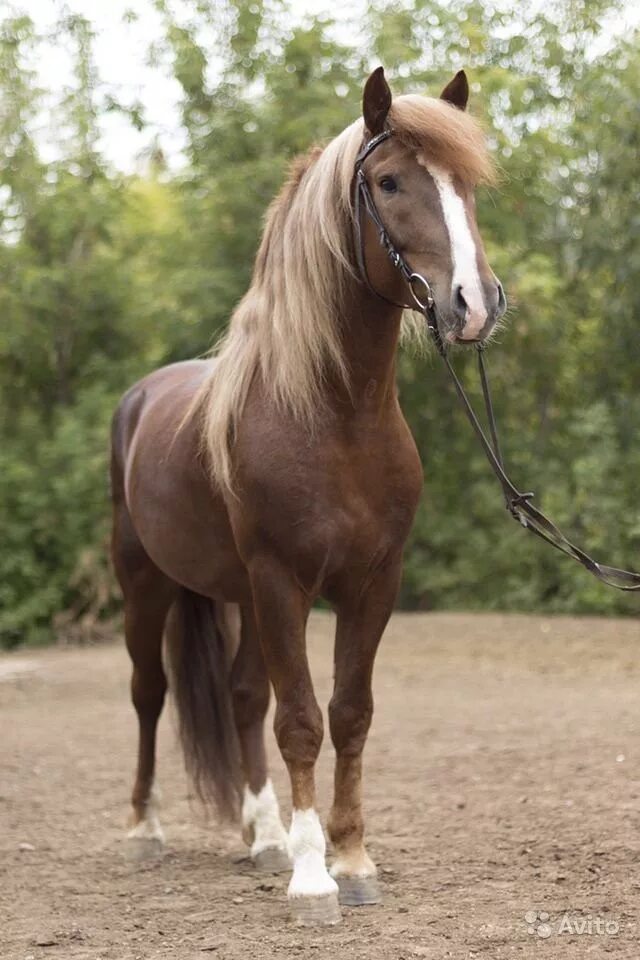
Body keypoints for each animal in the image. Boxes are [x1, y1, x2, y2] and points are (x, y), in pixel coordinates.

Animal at [112, 65, 508, 924]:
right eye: (389, 182)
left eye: (466, 186)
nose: (474, 305)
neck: (335, 416)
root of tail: (142, 395)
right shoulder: (281, 581)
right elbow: (299, 720)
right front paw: (312, 878)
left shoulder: (373, 582)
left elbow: (350, 713)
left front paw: (351, 859)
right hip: (148, 586)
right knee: (150, 693)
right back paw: (144, 831)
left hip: (235, 596)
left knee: (237, 696)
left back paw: (261, 836)